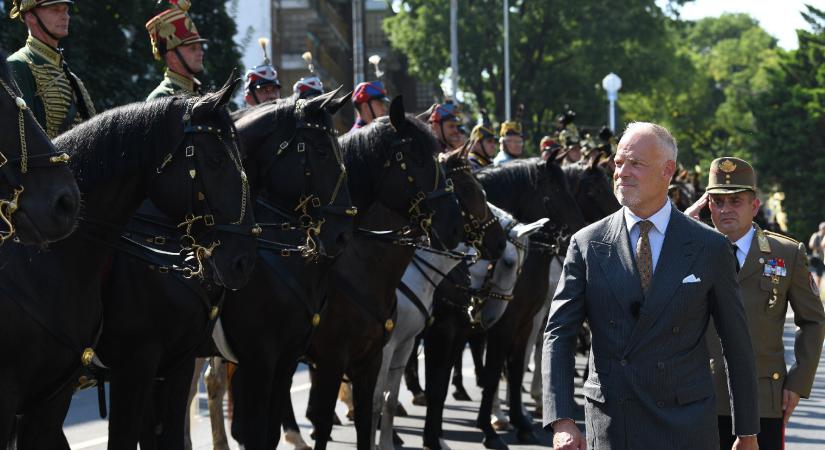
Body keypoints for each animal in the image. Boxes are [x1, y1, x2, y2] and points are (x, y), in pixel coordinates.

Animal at [304, 96, 464, 450]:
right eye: (416, 156)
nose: (454, 225)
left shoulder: (373, 356)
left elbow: (371, 414)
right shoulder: (332, 358)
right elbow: (327, 421)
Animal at [470, 157, 584, 446]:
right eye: (556, 190)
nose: (579, 232)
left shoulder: (526, 320)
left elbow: (516, 366)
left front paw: (521, 421)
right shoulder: (504, 323)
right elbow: (496, 370)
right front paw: (490, 427)